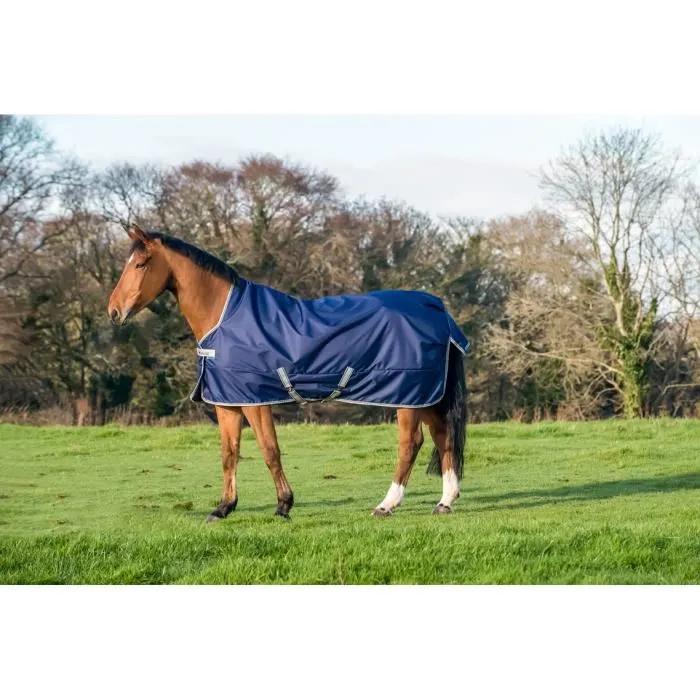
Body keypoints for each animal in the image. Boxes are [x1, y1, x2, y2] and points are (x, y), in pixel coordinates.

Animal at [107, 224, 468, 521]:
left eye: (140, 265)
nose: (113, 311)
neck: (224, 318)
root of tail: (437, 310)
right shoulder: (227, 402)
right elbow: (229, 453)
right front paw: (224, 507)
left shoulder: (254, 402)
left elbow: (270, 450)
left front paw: (283, 505)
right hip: (428, 395)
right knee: (443, 436)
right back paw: (445, 502)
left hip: (408, 396)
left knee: (411, 443)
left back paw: (386, 505)